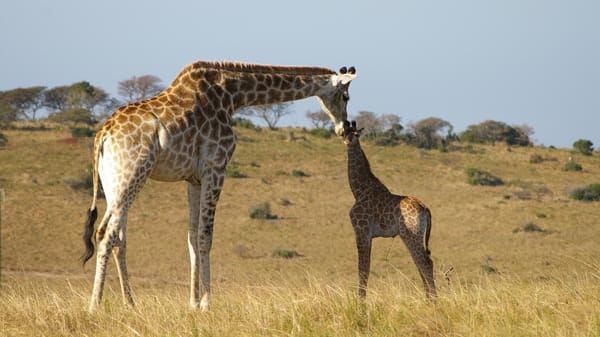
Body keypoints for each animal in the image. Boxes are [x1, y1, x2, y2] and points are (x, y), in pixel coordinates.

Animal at [79, 60, 356, 310]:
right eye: (345, 96)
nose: (344, 129)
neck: (232, 96)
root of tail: (102, 135)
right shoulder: (216, 167)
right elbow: (205, 236)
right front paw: (206, 303)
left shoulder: (193, 178)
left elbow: (191, 237)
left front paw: (193, 303)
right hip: (132, 175)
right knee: (106, 233)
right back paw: (94, 305)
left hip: (114, 184)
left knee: (118, 237)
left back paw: (130, 304)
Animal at [342, 120, 436, 296]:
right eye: (344, 133)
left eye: (356, 134)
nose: (348, 141)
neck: (359, 191)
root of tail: (424, 208)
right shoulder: (368, 235)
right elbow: (366, 267)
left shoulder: (361, 231)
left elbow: (363, 269)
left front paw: (360, 301)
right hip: (415, 235)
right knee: (421, 263)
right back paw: (427, 298)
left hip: (410, 234)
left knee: (425, 263)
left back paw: (434, 299)